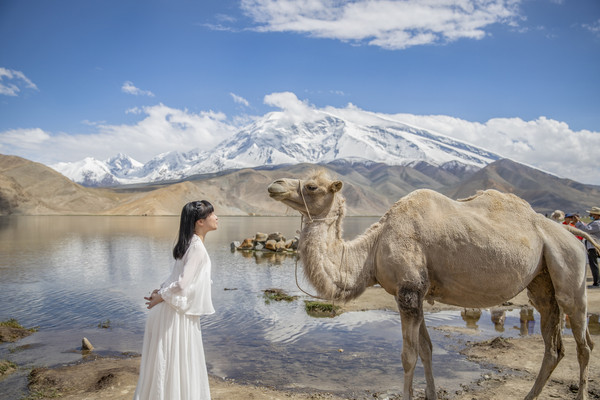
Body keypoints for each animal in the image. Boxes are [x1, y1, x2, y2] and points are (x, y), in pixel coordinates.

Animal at [270, 171, 596, 400]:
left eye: (312, 187)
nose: (275, 184)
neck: (374, 248)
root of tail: (572, 234)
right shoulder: (417, 292)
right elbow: (426, 349)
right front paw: (430, 393)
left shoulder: (408, 291)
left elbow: (408, 356)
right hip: (542, 282)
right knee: (554, 346)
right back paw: (530, 394)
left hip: (571, 272)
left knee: (583, 344)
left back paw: (579, 392)